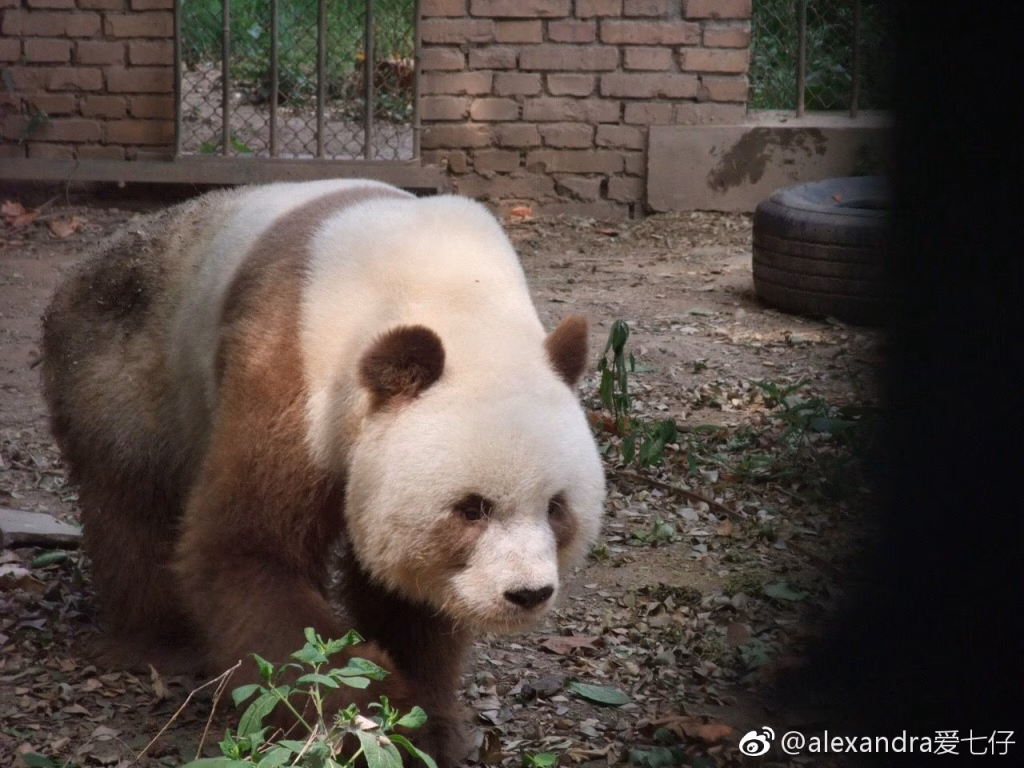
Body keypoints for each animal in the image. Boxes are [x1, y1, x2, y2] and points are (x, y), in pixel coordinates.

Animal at [41, 179, 605, 766]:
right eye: (472, 509)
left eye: (557, 507)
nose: (527, 593)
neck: (453, 299)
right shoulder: (293, 366)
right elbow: (247, 550)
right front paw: (374, 726)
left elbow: (406, 595)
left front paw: (430, 721)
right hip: (124, 361)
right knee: (131, 498)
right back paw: (158, 640)